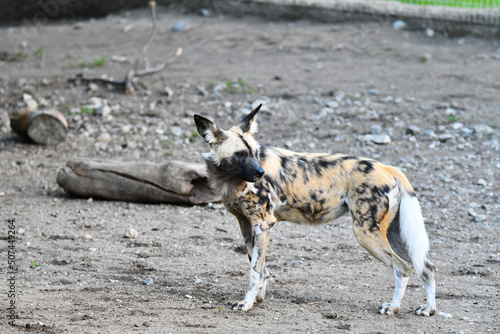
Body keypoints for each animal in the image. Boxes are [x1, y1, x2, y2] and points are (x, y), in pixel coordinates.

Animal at [193, 105, 436, 316]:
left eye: (255, 152)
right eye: (240, 154)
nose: (260, 173)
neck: (230, 180)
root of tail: (387, 167)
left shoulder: (263, 224)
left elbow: (255, 271)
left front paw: (247, 303)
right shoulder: (246, 224)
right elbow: (259, 267)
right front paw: (258, 298)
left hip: (365, 232)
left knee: (402, 268)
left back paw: (393, 308)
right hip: (393, 233)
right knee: (426, 266)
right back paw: (428, 309)